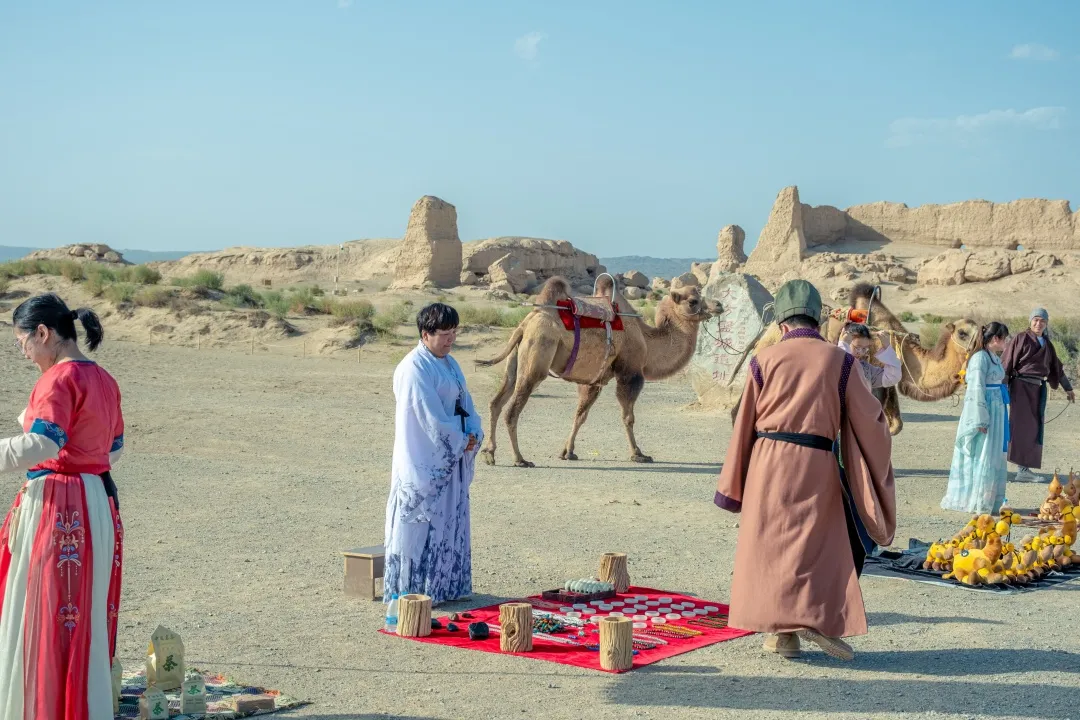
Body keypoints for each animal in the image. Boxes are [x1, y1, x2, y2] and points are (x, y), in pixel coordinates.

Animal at [477, 276, 721, 468]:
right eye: (693, 301)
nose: (718, 305)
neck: (647, 340)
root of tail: (525, 323)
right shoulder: (630, 372)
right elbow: (628, 416)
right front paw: (638, 454)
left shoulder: (595, 380)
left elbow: (580, 415)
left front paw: (568, 452)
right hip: (537, 355)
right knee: (512, 410)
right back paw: (520, 459)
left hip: (516, 357)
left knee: (496, 402)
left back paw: (489, 454)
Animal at [734, 284, 980, 436]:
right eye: (963, 333)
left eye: (981, 328)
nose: (980, 343)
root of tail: (764, 333)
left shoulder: (886, 383)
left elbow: (895, 426)